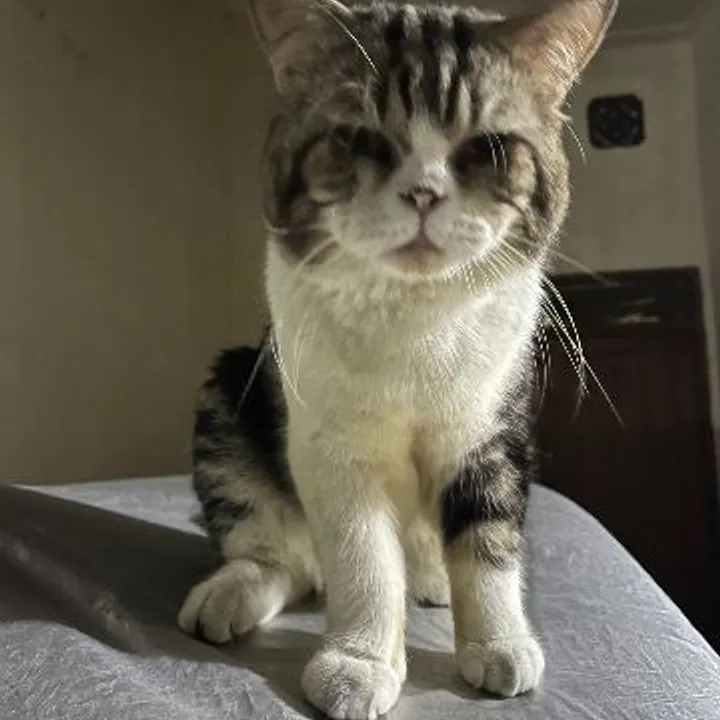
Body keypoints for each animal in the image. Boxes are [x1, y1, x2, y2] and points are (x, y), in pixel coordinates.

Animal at [178, 0, 616, 718]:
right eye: (358, 138)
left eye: (489, 148)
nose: (424, 193)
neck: (414, 321)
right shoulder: (333, 444)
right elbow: (364, 558)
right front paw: (357, 664)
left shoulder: (493, 428)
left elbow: (490, 541)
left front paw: (498, 643)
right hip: (229, 392)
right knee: (285, 558)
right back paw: (232, 592)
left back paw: (433, 577)